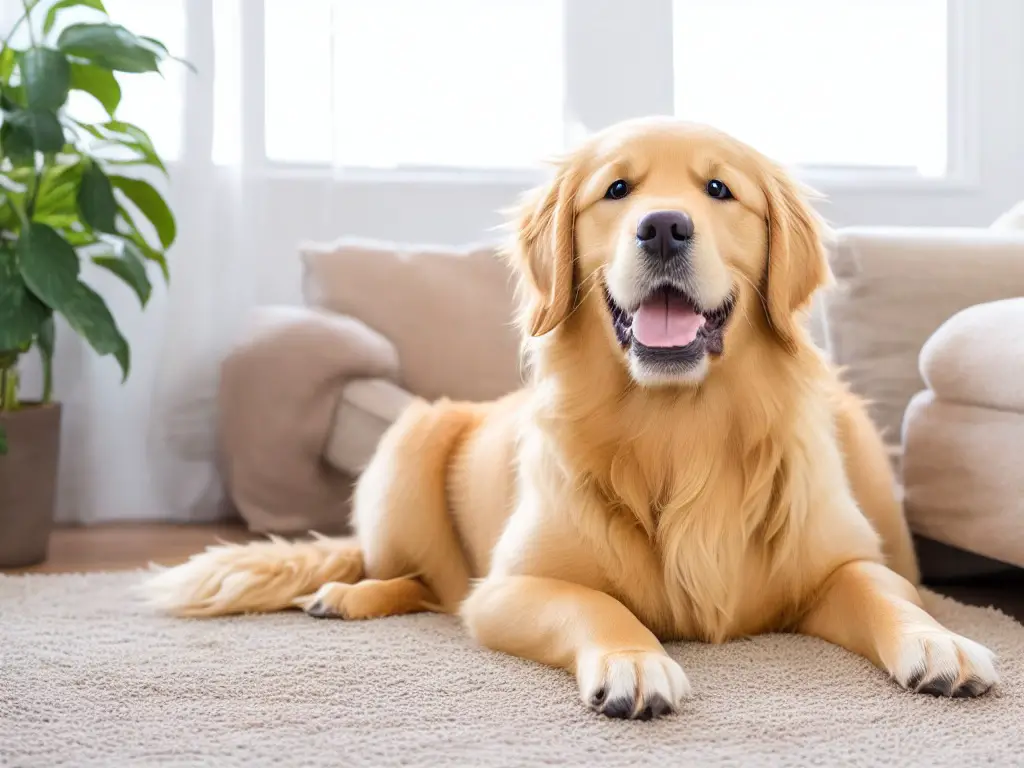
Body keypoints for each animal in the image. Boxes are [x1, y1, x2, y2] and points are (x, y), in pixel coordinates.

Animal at [140, 117, 995, 720]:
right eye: (616, 191)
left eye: (720, 191)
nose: (663, 226)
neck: (679, 428)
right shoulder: (509, 590)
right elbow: (595, 602)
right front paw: (634, 661)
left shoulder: (841, 565)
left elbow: (887, 593)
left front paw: (942, 642)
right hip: (411, 442)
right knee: (411, 577)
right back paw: (347, 597)